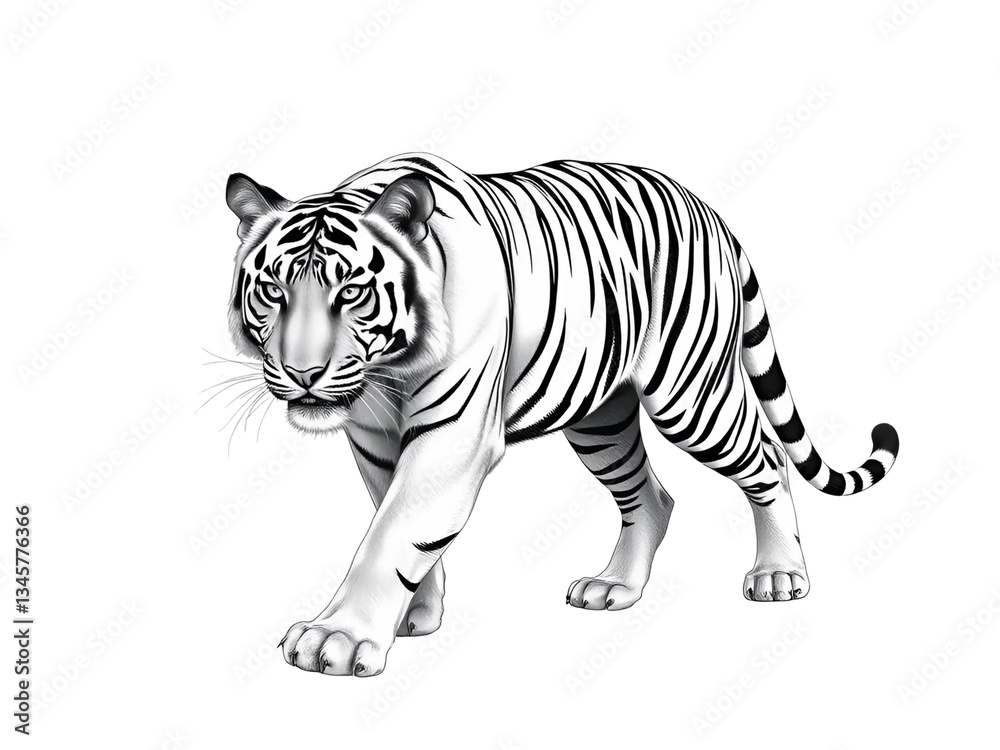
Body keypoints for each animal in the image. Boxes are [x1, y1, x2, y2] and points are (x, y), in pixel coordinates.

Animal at [224, 152, 899, 677]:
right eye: (274, 291)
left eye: (351, 293)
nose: (304, 373)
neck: (388, 373)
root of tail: (708, 210)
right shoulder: (372, 440)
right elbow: (401, 524)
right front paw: (414, 615)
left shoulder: (452, 437)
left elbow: (393, 531)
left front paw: (337, 637)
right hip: (600, 419)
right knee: (651, 495)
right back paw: (615, 587)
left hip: (691, 397)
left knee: (770, 458)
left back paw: (779, 574)